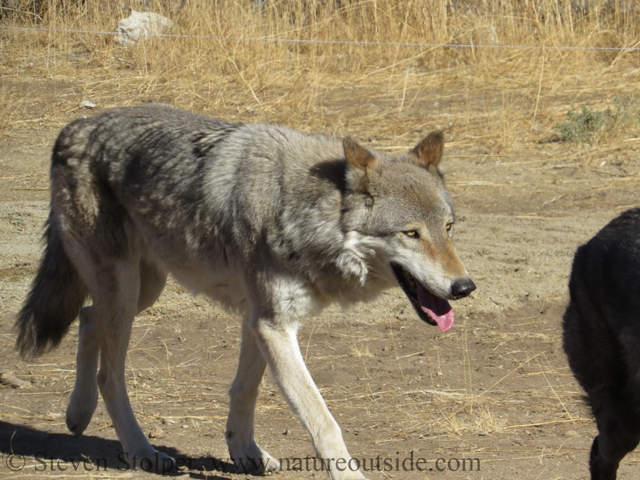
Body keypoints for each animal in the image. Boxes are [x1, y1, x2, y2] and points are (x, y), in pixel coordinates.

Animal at [15, 105, 476, 480]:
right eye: (411, 234)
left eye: (448, 228)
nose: (465, 286)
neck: (304, 210)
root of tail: (75, 126)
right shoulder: (272, 324)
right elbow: (323, 421)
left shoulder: (260, 319)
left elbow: (245, 390)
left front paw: (245, 452)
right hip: (127, 292)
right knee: (109, 372)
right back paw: (141, 451)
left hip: (143, 290)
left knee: (88, 317)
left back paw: (78, 414)